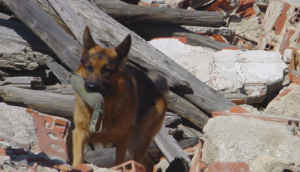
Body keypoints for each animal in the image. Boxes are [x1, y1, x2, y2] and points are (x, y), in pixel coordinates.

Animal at [72, 26, 169, 169]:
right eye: (89, 67)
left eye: (107, 69)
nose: (91, 87)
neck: (104, 108)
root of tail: (157, 90)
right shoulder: (80, 133)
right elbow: (77, 160)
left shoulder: (122, 140)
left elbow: (119, 163)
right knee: (149, 160)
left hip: (137, 140)